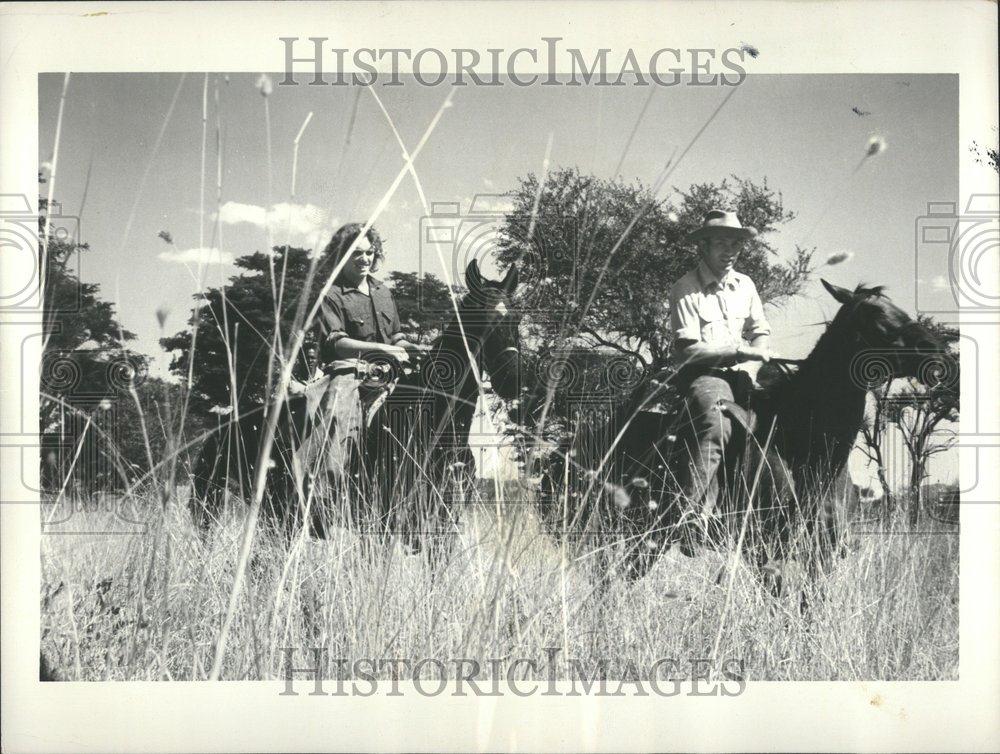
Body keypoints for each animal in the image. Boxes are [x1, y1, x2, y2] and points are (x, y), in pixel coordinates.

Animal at [191, 260, 528, 540]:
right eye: (480, 316)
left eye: (518, 317)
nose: (512, 380)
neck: (436, 423)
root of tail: (225, 427)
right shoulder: (382, 522)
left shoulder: (443, 523)